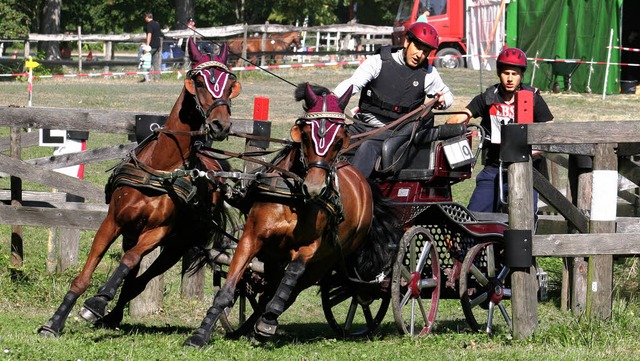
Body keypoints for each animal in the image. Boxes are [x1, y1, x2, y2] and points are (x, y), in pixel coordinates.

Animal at [38, 38, 242, 336]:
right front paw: (54, 322)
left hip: (177, 246)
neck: (160, 169)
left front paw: (97, 302)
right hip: (134, 233)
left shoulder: (157, 232)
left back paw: (109, 313)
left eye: (230, 85)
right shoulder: (114, 221)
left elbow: (130, 262)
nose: (220, 125)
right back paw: (110, 316)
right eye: (199, 81)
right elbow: (85, 275)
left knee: (138, 279)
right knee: (132, 276)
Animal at [182, 83, 398, 348]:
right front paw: (200, 334)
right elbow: (229, 287)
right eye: (304, 135)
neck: (294, 199)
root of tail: (362, 180)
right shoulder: (251, 237)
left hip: (325, 260)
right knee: (270, 286)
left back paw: (266, 321)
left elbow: (293, 273)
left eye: (339, 140)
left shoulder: (310, 248)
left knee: (292, 288)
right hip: (275, 255)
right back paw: (256, 322)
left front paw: (267, 321)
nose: (314, 188)